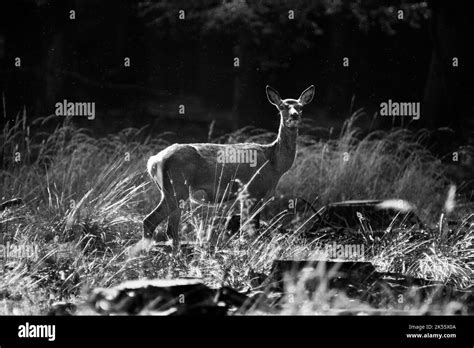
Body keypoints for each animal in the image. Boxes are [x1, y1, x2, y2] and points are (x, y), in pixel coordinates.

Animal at [143, 84, 316, 247]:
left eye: (301, 107)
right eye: (282, 107)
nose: (294, 115)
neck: (275, 164)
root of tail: (153, 161)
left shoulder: (254, 195)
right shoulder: (251, 191)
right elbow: (248, 230)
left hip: (173, 192)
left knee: (170, 228)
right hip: (176, 188)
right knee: (152, 221)